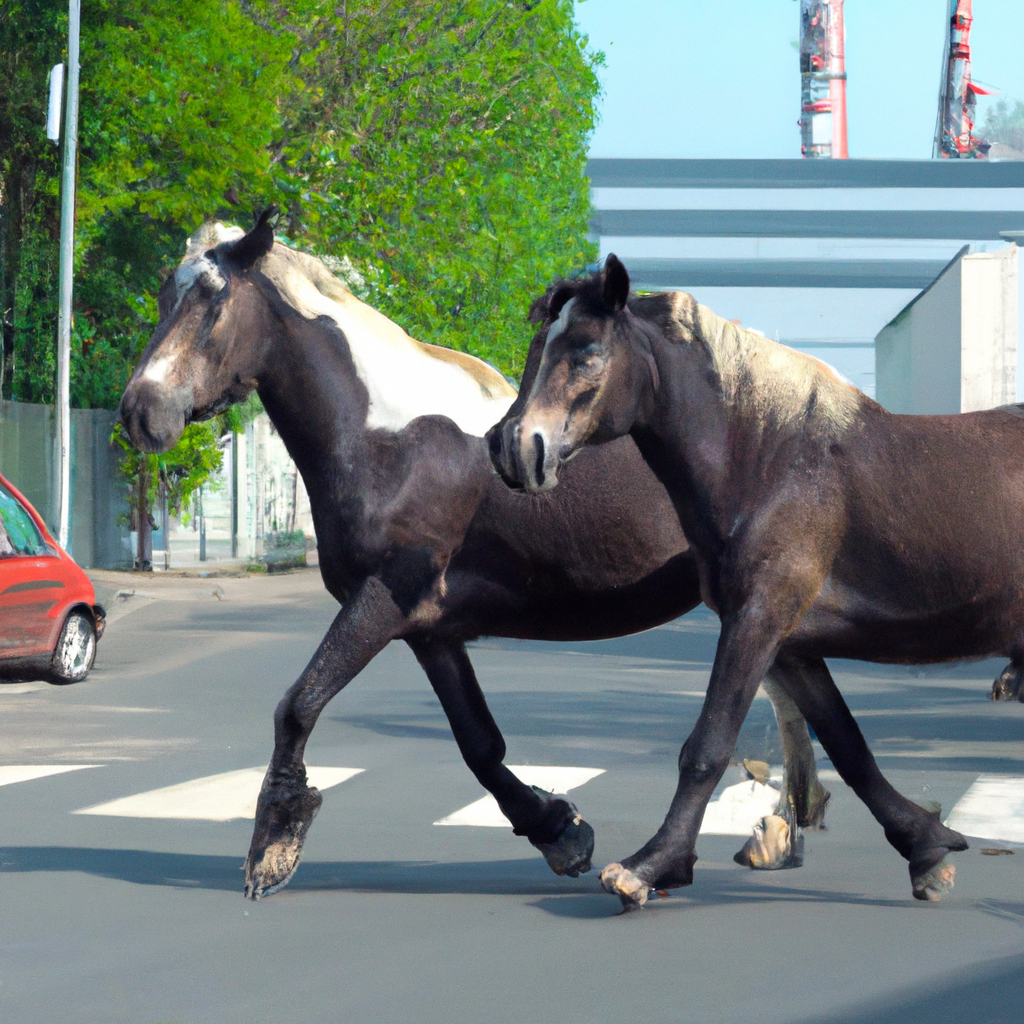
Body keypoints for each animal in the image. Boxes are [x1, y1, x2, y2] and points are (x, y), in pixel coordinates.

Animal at [117, 214, 831, 897]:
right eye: (163, 295)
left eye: (213, 302)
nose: (141, 412)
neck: (387, 438)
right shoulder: (430, 631)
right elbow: (479, 745)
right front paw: (559, 831)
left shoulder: (380, 601)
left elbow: (298, 705)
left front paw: (271, 850)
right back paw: (778, 835)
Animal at [487, 253, 1024, 905]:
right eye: (536, 348)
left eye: (587, 353)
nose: (512, 448)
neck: (770, 461)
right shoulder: (790, 644)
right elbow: (848, 747)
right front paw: (926, 848)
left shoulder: (757, 620)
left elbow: (707, 746)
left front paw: (648, 867)